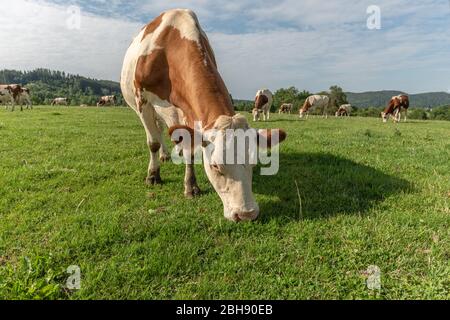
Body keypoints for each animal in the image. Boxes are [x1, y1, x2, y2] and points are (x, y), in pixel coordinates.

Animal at [121, 8, 286, 221]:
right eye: (215, 166)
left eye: (253, 162)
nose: (246, 214)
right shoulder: (143, 101)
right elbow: (153, 143)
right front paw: (153, 176)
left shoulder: (189, 110)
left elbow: (190, 148)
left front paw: (191, 186)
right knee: (157, 132)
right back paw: (163, 156)